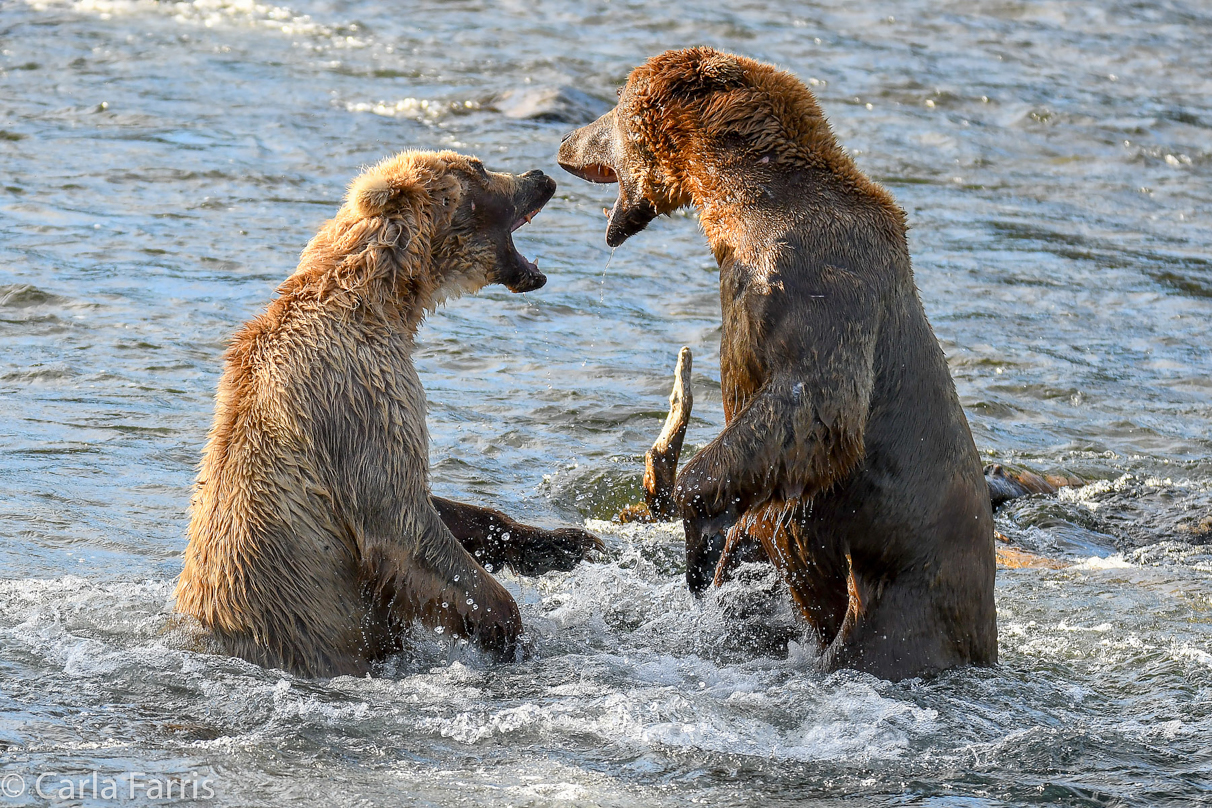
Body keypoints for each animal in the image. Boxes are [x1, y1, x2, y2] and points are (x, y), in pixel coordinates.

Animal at [175, 150, 601, 678]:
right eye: (479, 166)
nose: (539, 176)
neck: (383, 301)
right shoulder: (360, 395)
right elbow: (401, 523)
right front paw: (507, 627)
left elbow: (444, 506)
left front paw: (569, 542)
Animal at [557, 49, 993, 683]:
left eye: (614, 106)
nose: (565, 143)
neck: (742, 207)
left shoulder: (818, 281)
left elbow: (816, 404)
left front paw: (700, 544)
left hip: (906, 591)